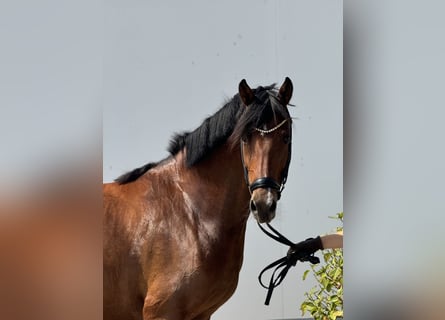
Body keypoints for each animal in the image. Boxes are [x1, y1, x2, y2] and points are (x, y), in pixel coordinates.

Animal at [102, 77, 294, 320]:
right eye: (245, 137)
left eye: (285, 137)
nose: (263, 204)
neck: (191, 213)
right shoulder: (163, 311)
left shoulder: (202, 314)